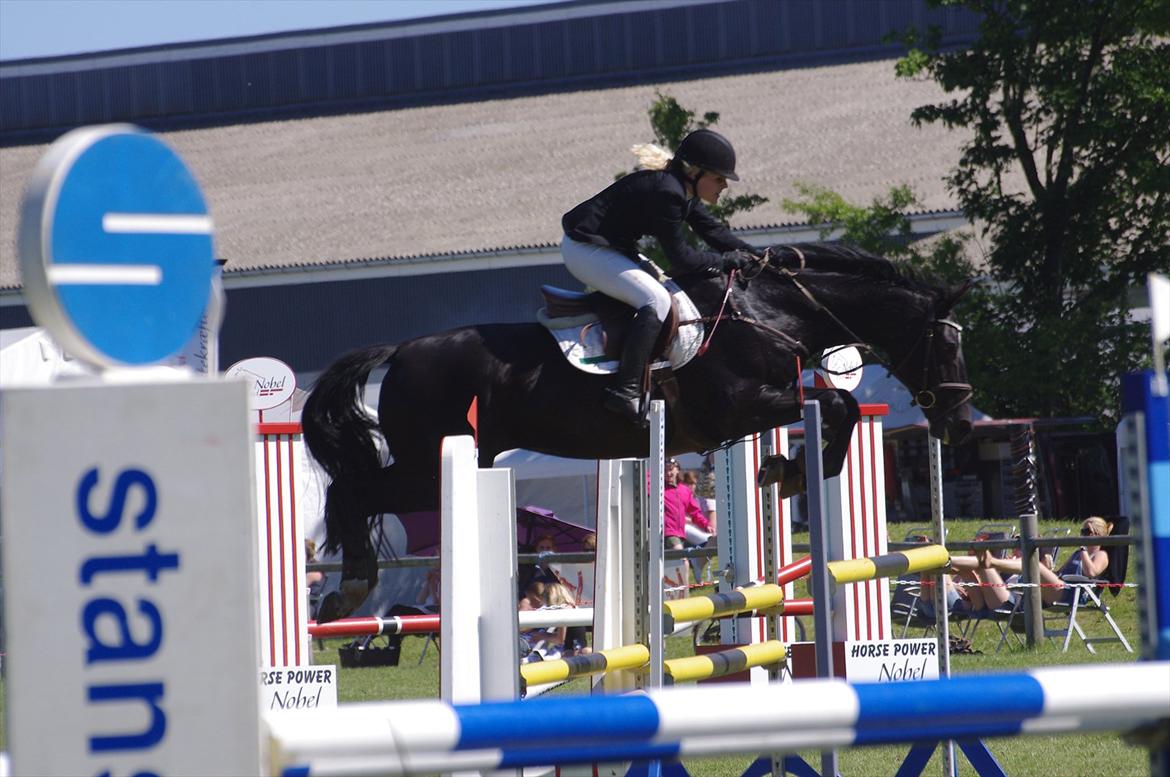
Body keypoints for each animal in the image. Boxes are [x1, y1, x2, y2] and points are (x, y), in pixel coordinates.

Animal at [299, 243, 968, 617]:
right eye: (947, 345)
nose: (958, 422)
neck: (771, 313)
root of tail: (401, 351)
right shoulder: (742, 409)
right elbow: (841, 404)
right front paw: (797, 469)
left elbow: (839, 407)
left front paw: (786, 469)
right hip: (426, 464)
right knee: (351, 491)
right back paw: (349, 590)